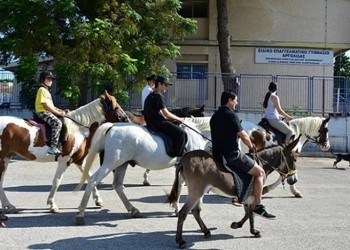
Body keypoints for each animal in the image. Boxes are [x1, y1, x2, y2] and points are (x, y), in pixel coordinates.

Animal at [0, 90, 128, 213]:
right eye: (116, 107)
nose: (127, 119)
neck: (79, 129)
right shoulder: (64, 160)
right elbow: (57, 181)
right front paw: (52, 205)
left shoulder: (79, 160)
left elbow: (89, 176)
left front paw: (98, 200)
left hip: (6, 157)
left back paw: (9, 206)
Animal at [75, 117, 212, 225]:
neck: (197, 134)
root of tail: (112, 126)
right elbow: (184, 188)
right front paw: (185, 208)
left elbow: (179, 187)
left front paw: (177, 208)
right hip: (111, 163)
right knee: (93, 180)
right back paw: (81, 213)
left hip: (122, 164)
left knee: (117, 185)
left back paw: (133, 210)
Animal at [167, 136, 300, 249]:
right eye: (294, 159)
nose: (294, 180)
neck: (261, 164)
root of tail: (184, 159)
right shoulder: (253, 194)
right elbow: (251, 213)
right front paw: (250, 230)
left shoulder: (247, 195)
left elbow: (248, 213)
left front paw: (241, 226)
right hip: (196, 191)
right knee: (183, 213)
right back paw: (180, 241)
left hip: (199, 192)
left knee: (196, 211)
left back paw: (206, 231)